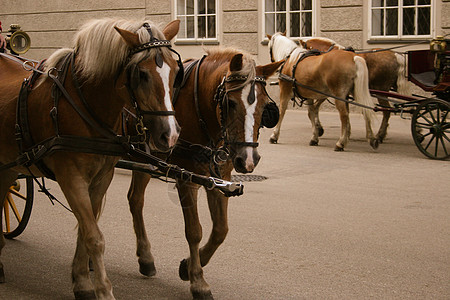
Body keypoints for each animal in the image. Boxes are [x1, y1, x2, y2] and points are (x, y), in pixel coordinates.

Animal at [1, 17, 183, 298]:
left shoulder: (101, 178)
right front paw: (104, 290)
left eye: (174, 71)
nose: (170, 135)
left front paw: (82, 282)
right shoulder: (71, 177)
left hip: (9, 165)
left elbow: (86, 229)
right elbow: (94, 237)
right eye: (141, 74)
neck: (83, 104)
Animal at [125, 48, 282, 298]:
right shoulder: (186, 179)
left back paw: (145, 259)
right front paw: (198, 280)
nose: (248, 159)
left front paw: (187, 266)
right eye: (230, 103)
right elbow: (194, 231)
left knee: (135, 199)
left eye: (265, 105)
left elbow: (220, 230)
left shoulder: (218, 179)